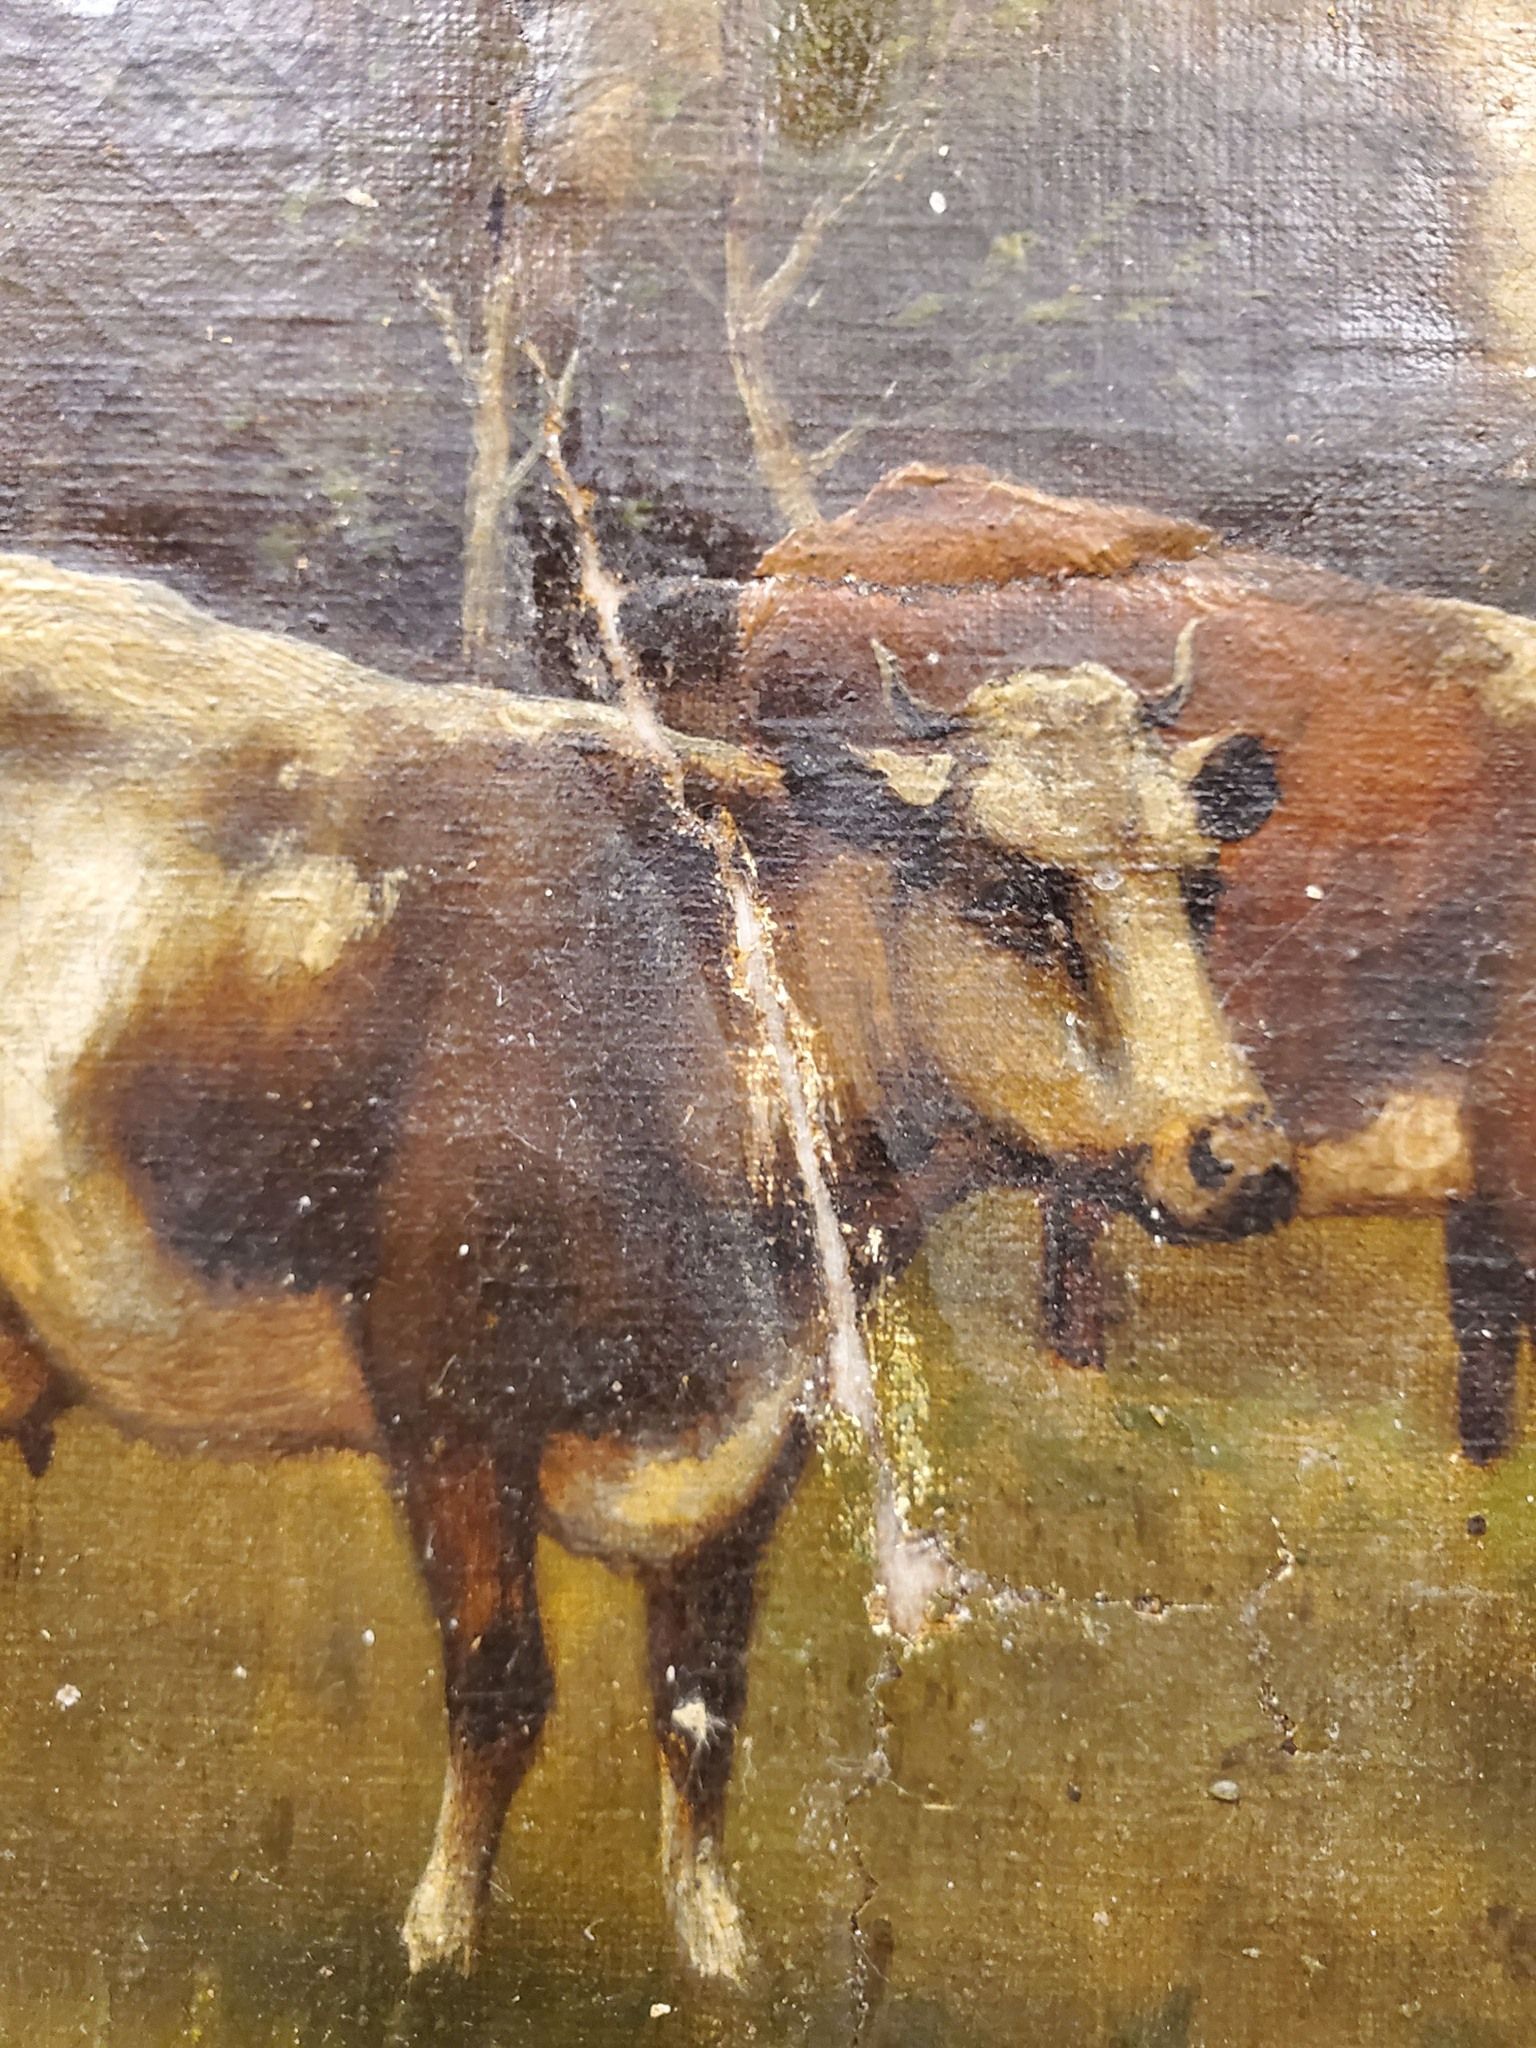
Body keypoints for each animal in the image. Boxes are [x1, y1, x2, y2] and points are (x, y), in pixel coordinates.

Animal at [0, 549, 1288, 1982]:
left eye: (1203, 891)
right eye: (1020, 889)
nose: (1240, 1156)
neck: (714, 1000)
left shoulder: (763, 1435)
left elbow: (699, 1701)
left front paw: (715, 1947)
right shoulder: (449, 1408)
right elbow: (502, 1683)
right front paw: (440, 1940)